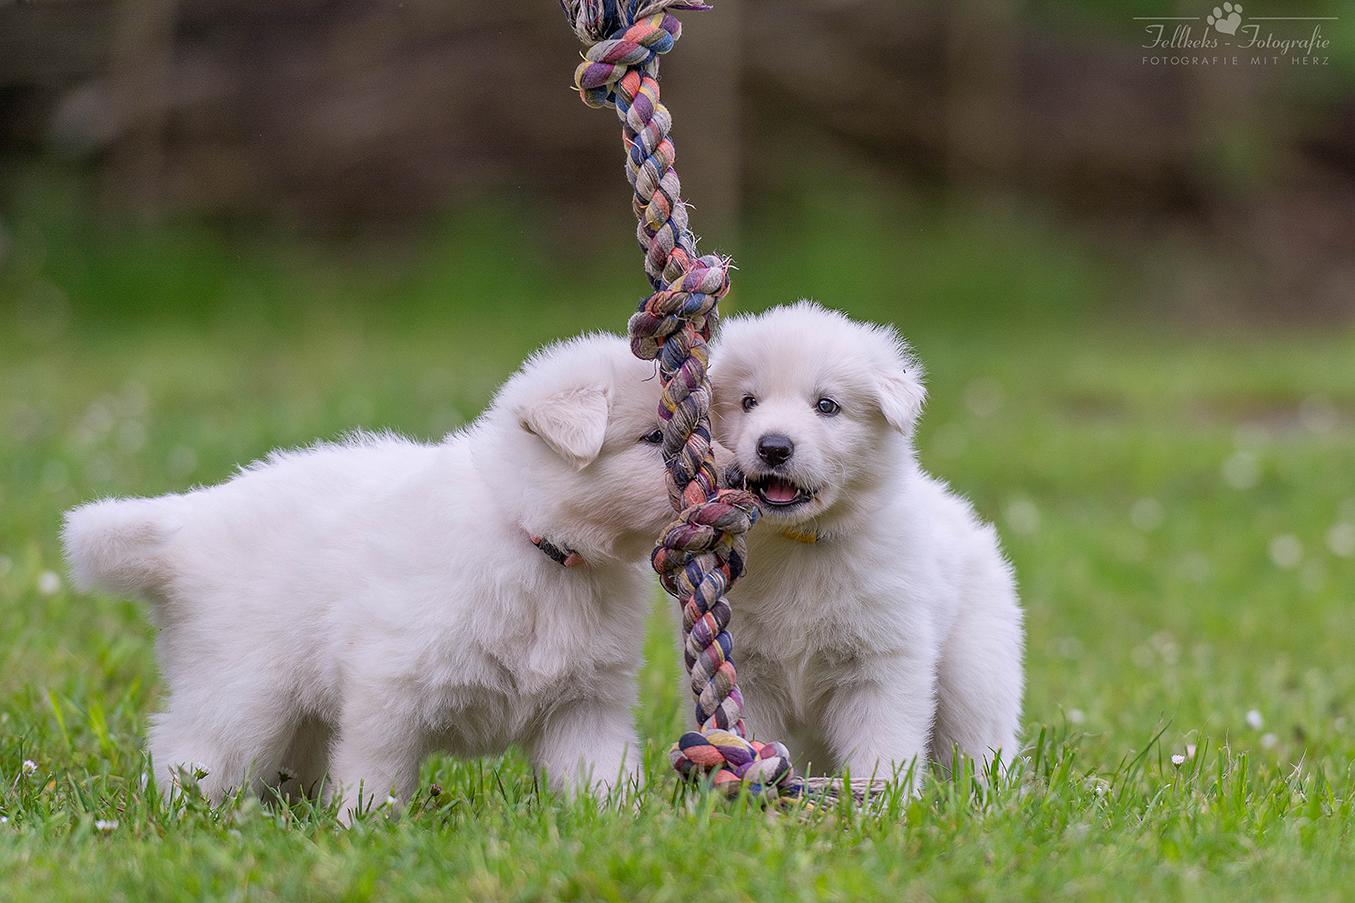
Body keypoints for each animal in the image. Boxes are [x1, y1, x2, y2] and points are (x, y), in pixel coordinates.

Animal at [63, 332, 672, 820]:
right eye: (654, 438)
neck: (535, 541)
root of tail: (185, 527)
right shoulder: (389, 688)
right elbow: (376, 771)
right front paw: (363, 829)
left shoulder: (585, 704)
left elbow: (605, 772)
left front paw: (625, 825)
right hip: (242, 695)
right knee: (189, 753)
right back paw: (188, 819)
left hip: (291, 716)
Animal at [709, 302, 1024, 785]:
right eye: (748, 402)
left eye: (826, 405)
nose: (773, 447)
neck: (801, 539)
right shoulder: (746, 666)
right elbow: (752, 733)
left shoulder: (881, 662)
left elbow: (883, 741)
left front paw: (882, 795)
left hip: (974, 672)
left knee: (979, 742)